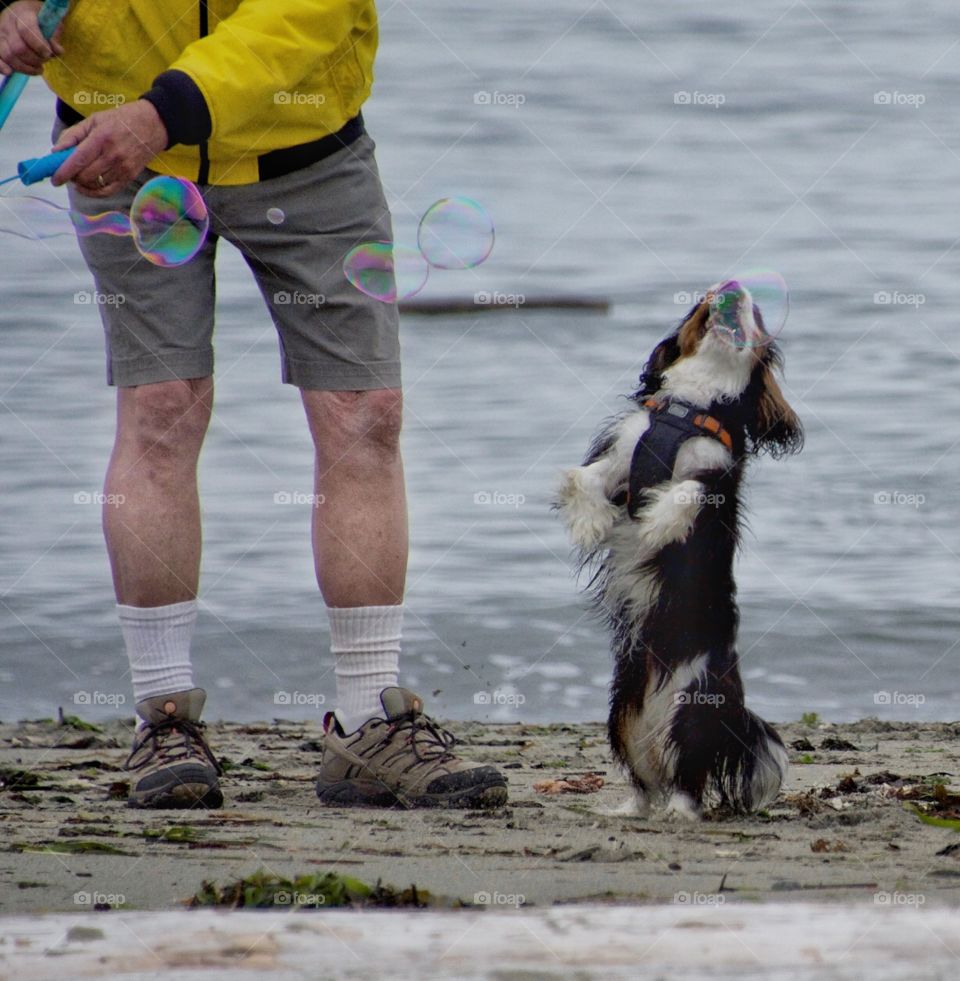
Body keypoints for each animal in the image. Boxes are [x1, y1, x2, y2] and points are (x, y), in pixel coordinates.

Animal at [556, 280, 804, 816]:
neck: (692, 407)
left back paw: (681, 813)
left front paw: (657, 523)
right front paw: (590, 522)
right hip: (622, 715)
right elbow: (584, 479)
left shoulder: (716, 478)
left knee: (688, 778)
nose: (731, 286)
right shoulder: (621, 461)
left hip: (691, 709)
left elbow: (689, 492)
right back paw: (630, 810)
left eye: (756, 313)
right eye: (701, 301)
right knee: (646, 780)